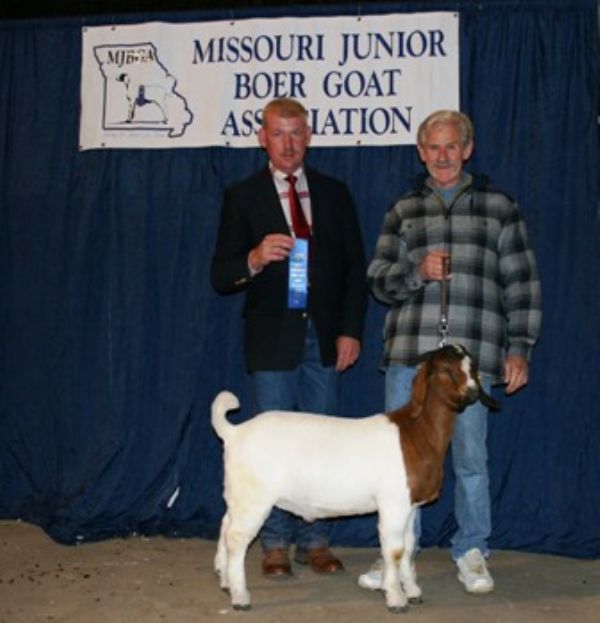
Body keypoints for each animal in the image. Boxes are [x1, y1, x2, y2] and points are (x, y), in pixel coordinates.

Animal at [213, 346, 500, 616]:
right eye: (445, 370)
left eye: (472, 367)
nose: (472, 393)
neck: (416, 433)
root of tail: (234, 432)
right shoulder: (393, 504)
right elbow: (394, 551)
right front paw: (396, 599)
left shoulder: (410, 505)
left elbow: (408, 548)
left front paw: (413, 591)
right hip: (254, 497)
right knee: (237, 539)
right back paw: (240, 597)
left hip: (238, 494)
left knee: (225, 526)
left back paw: (224, 580)